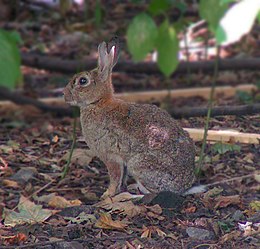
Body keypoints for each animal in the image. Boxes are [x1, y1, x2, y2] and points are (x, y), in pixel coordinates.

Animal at [63, 37, 195, 199]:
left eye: (82, 81)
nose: (64, 95)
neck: (98, 102)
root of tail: (183, 188)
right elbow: (122, 178)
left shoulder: (111, 156)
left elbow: (115, 177)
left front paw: (107, 194)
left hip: (139, 165)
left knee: (153, 193)